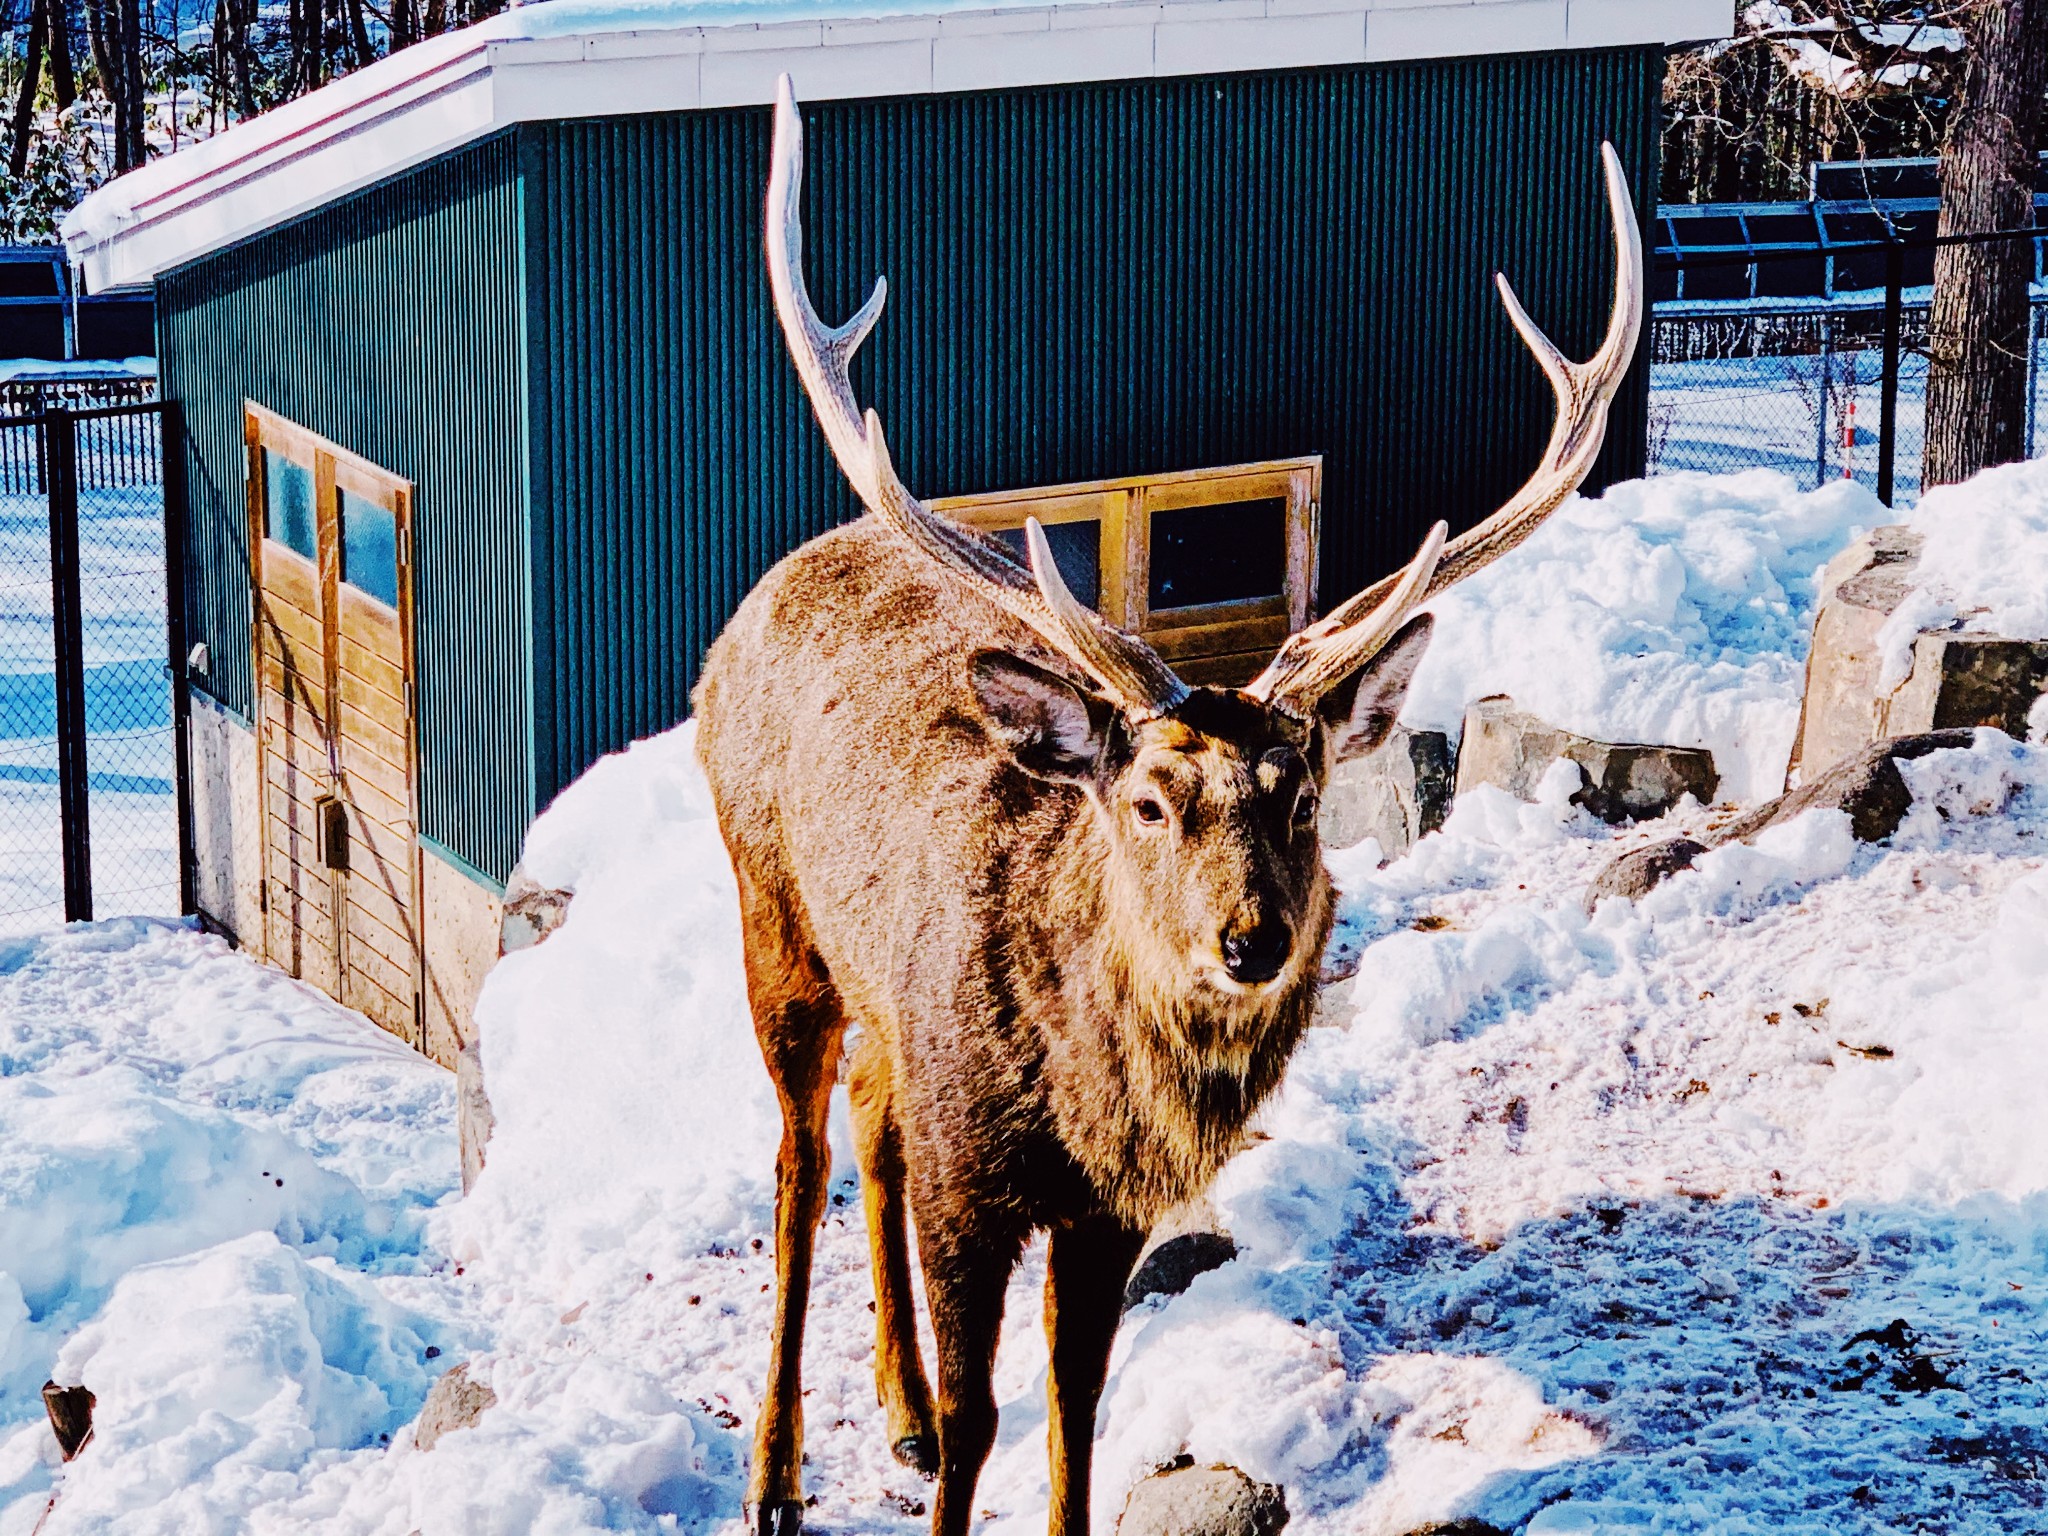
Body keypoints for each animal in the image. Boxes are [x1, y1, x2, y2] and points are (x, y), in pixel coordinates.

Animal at [696, 78, 1638, 1536]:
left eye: (1303, 796)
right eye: (1148, 801)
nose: (1250, 941)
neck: (1085, 1102)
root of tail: (753, 608)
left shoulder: (1109, 1210)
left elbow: (1076, 1412)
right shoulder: (973, 1183)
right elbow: (982, 1427)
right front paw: (930, 1447)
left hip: (878, 1000)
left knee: (868, 1114)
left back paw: (890, 1408)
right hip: (770, 910)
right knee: (800, 1162)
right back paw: (777, 1475)